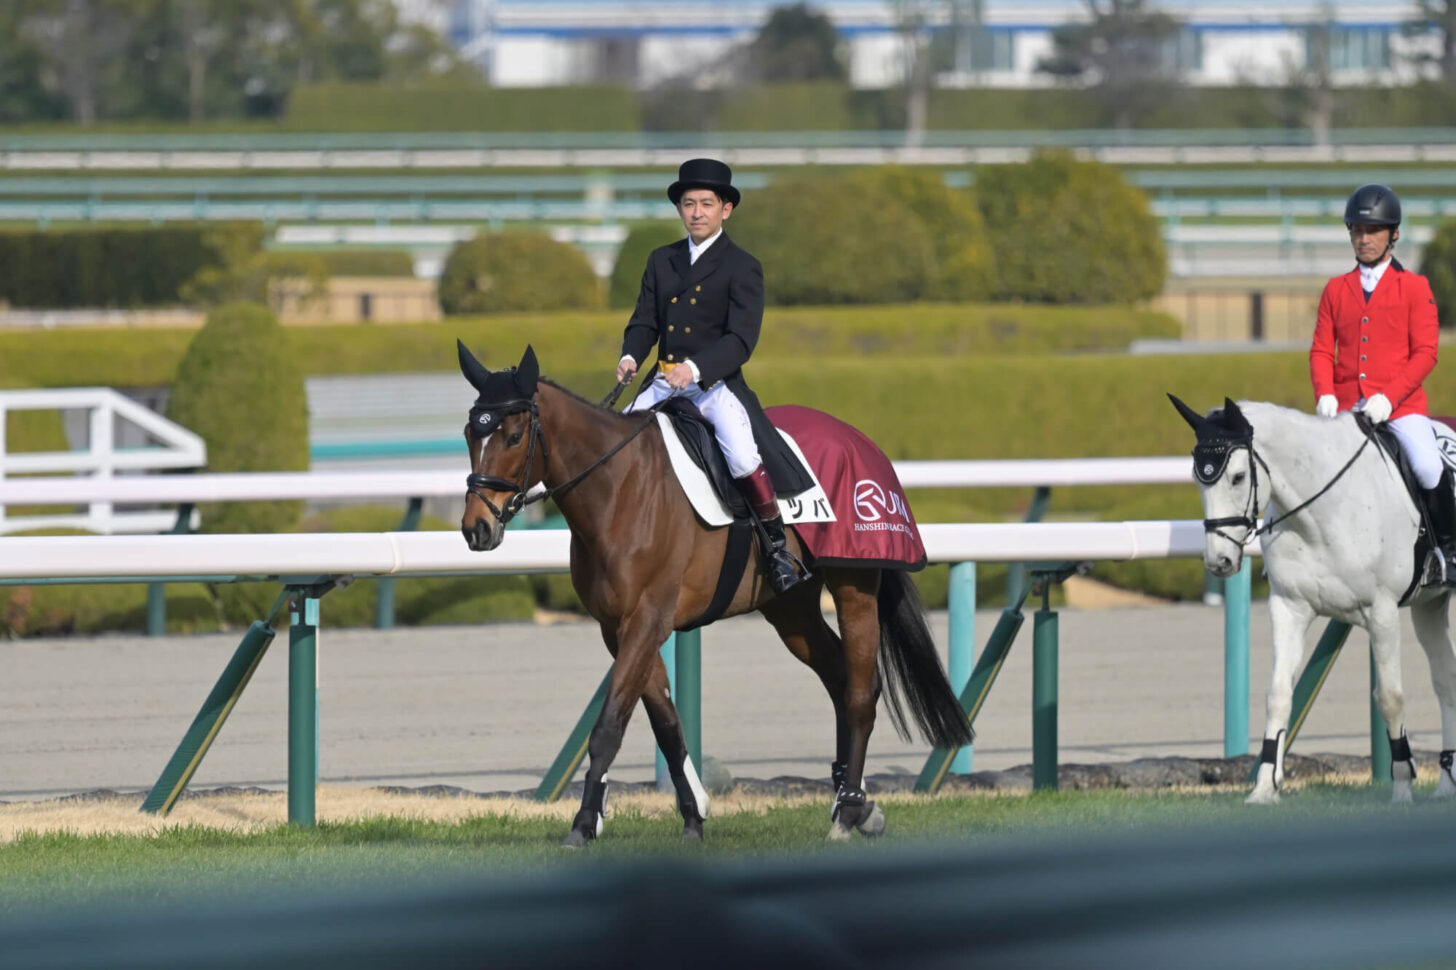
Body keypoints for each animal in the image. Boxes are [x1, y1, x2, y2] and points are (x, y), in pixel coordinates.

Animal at [460, 343, 972, 844]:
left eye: (513, 436)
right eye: (469, 433)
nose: (476, 528)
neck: (620, 487)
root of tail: (860, 440)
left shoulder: (648, 619)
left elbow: (609, 726)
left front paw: (583, 824)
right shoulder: (619, 628)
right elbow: (667, 724)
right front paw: (693, 817)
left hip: (854, 587)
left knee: (862, 694)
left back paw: (846, 814)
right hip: (791, 610)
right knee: (840, 681)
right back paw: (859, 803)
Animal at [1164, 396, 1456, 803]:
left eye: (1237, 477)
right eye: (1196, 478)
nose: (1219, 562)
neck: (1321, 513)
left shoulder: (1382, 612)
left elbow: (1389, 697)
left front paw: (1401, 789)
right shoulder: (1289, 608)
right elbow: (1278, 695)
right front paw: (1264, 788)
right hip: (1430, 605)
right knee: (1446, 680)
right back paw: (1446, 785)